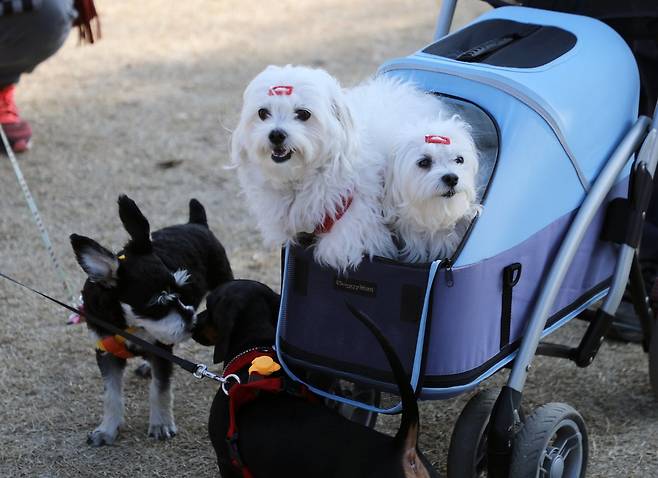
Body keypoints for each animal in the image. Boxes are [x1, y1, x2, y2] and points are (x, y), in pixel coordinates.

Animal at [69, 193, 232, 444]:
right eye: (157, 303)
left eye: (181, 288)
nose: (192, 323)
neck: (129, 324)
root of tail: (196, 223)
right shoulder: (106, 354)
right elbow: (111, 395)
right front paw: (106, 430)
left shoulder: (162, 351)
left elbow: (159, 390)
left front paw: (161, 425)